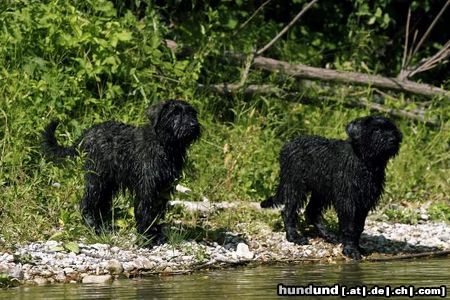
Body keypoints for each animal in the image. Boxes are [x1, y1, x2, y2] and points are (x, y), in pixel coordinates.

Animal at [42, 99, 200, 243]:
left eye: (192, 113)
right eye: (175, 113)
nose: (193, 125)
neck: (164, 145)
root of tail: (87, 133)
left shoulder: (163, 188)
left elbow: (155, 211)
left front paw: (155, 234)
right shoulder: (147, 187)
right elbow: (145, 211)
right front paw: (146, 237)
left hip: (107, 183)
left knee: (100, 204)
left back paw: (104, 226)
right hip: (97, 179)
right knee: (87, 203)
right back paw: (94, 227)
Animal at [262, 115, 402, 258]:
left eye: (392, 129)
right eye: (376, 130)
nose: (393, 139)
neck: (365, 162)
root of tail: (287, 146)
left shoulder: (364, 202)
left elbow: (358, 227)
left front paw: (358, 248)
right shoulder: (347, 201)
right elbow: (350, 227)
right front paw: (351, 250)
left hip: (320, 192)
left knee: (311, 212)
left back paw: (328, 235)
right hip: (295, 185)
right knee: (288, 211)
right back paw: (294, 237)